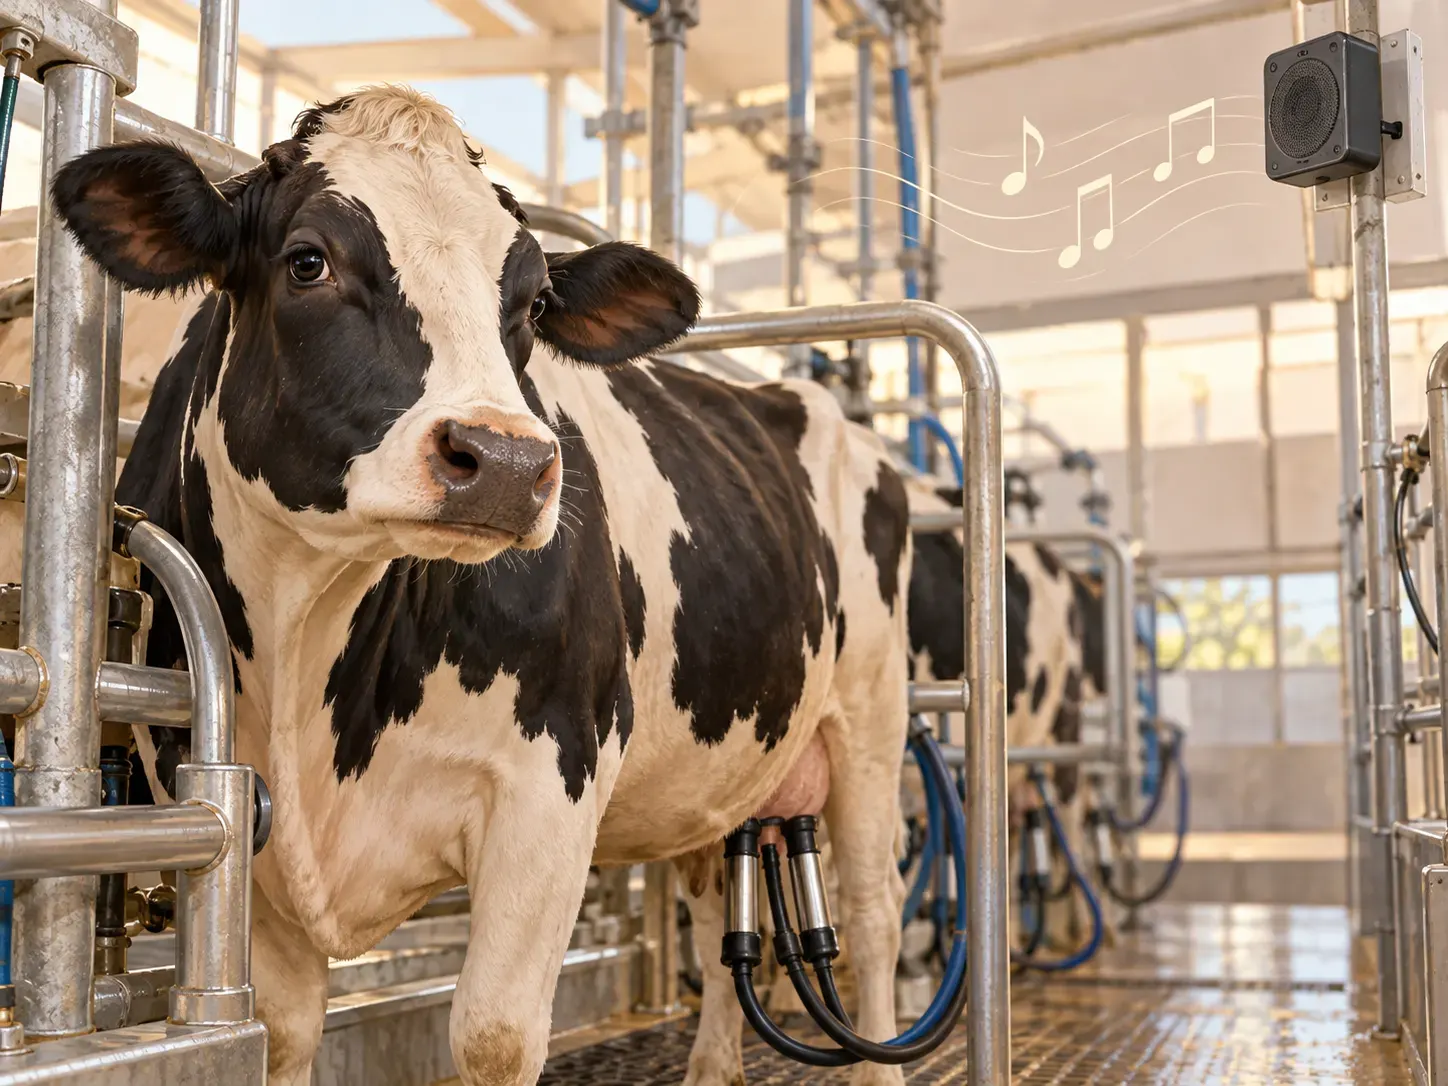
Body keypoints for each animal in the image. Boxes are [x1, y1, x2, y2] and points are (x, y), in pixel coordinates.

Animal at [51, 86, 914, 1086]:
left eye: (533, 301)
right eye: (307, 260)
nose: (505, 463)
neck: (309, 635)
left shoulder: (552, 784)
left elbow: (494, 1035)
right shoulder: (243, 823)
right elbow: (287, 1028)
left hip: (872, 721)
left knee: (874, 914)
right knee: (708, 903)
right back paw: (710, 1066)